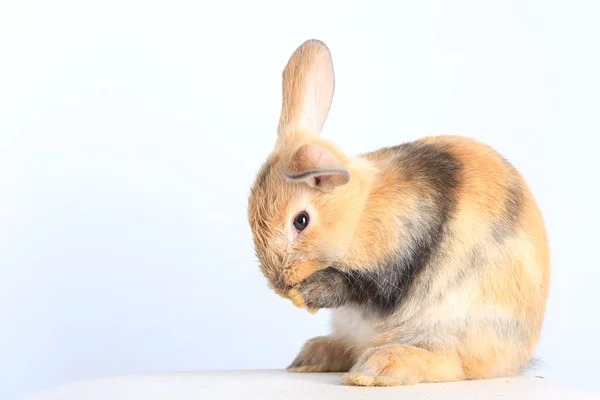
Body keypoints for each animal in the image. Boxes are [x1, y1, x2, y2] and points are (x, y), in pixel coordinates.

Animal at [246, 39, 552, 386]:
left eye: (301, 221)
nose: (278, 281)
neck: (362, 209)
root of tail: (516, 361)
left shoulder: (395, 263)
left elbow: (354, 286)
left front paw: (310, 292)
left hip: (455, 331)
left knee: (450, 364)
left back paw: (376, 369)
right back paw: (311, 358)